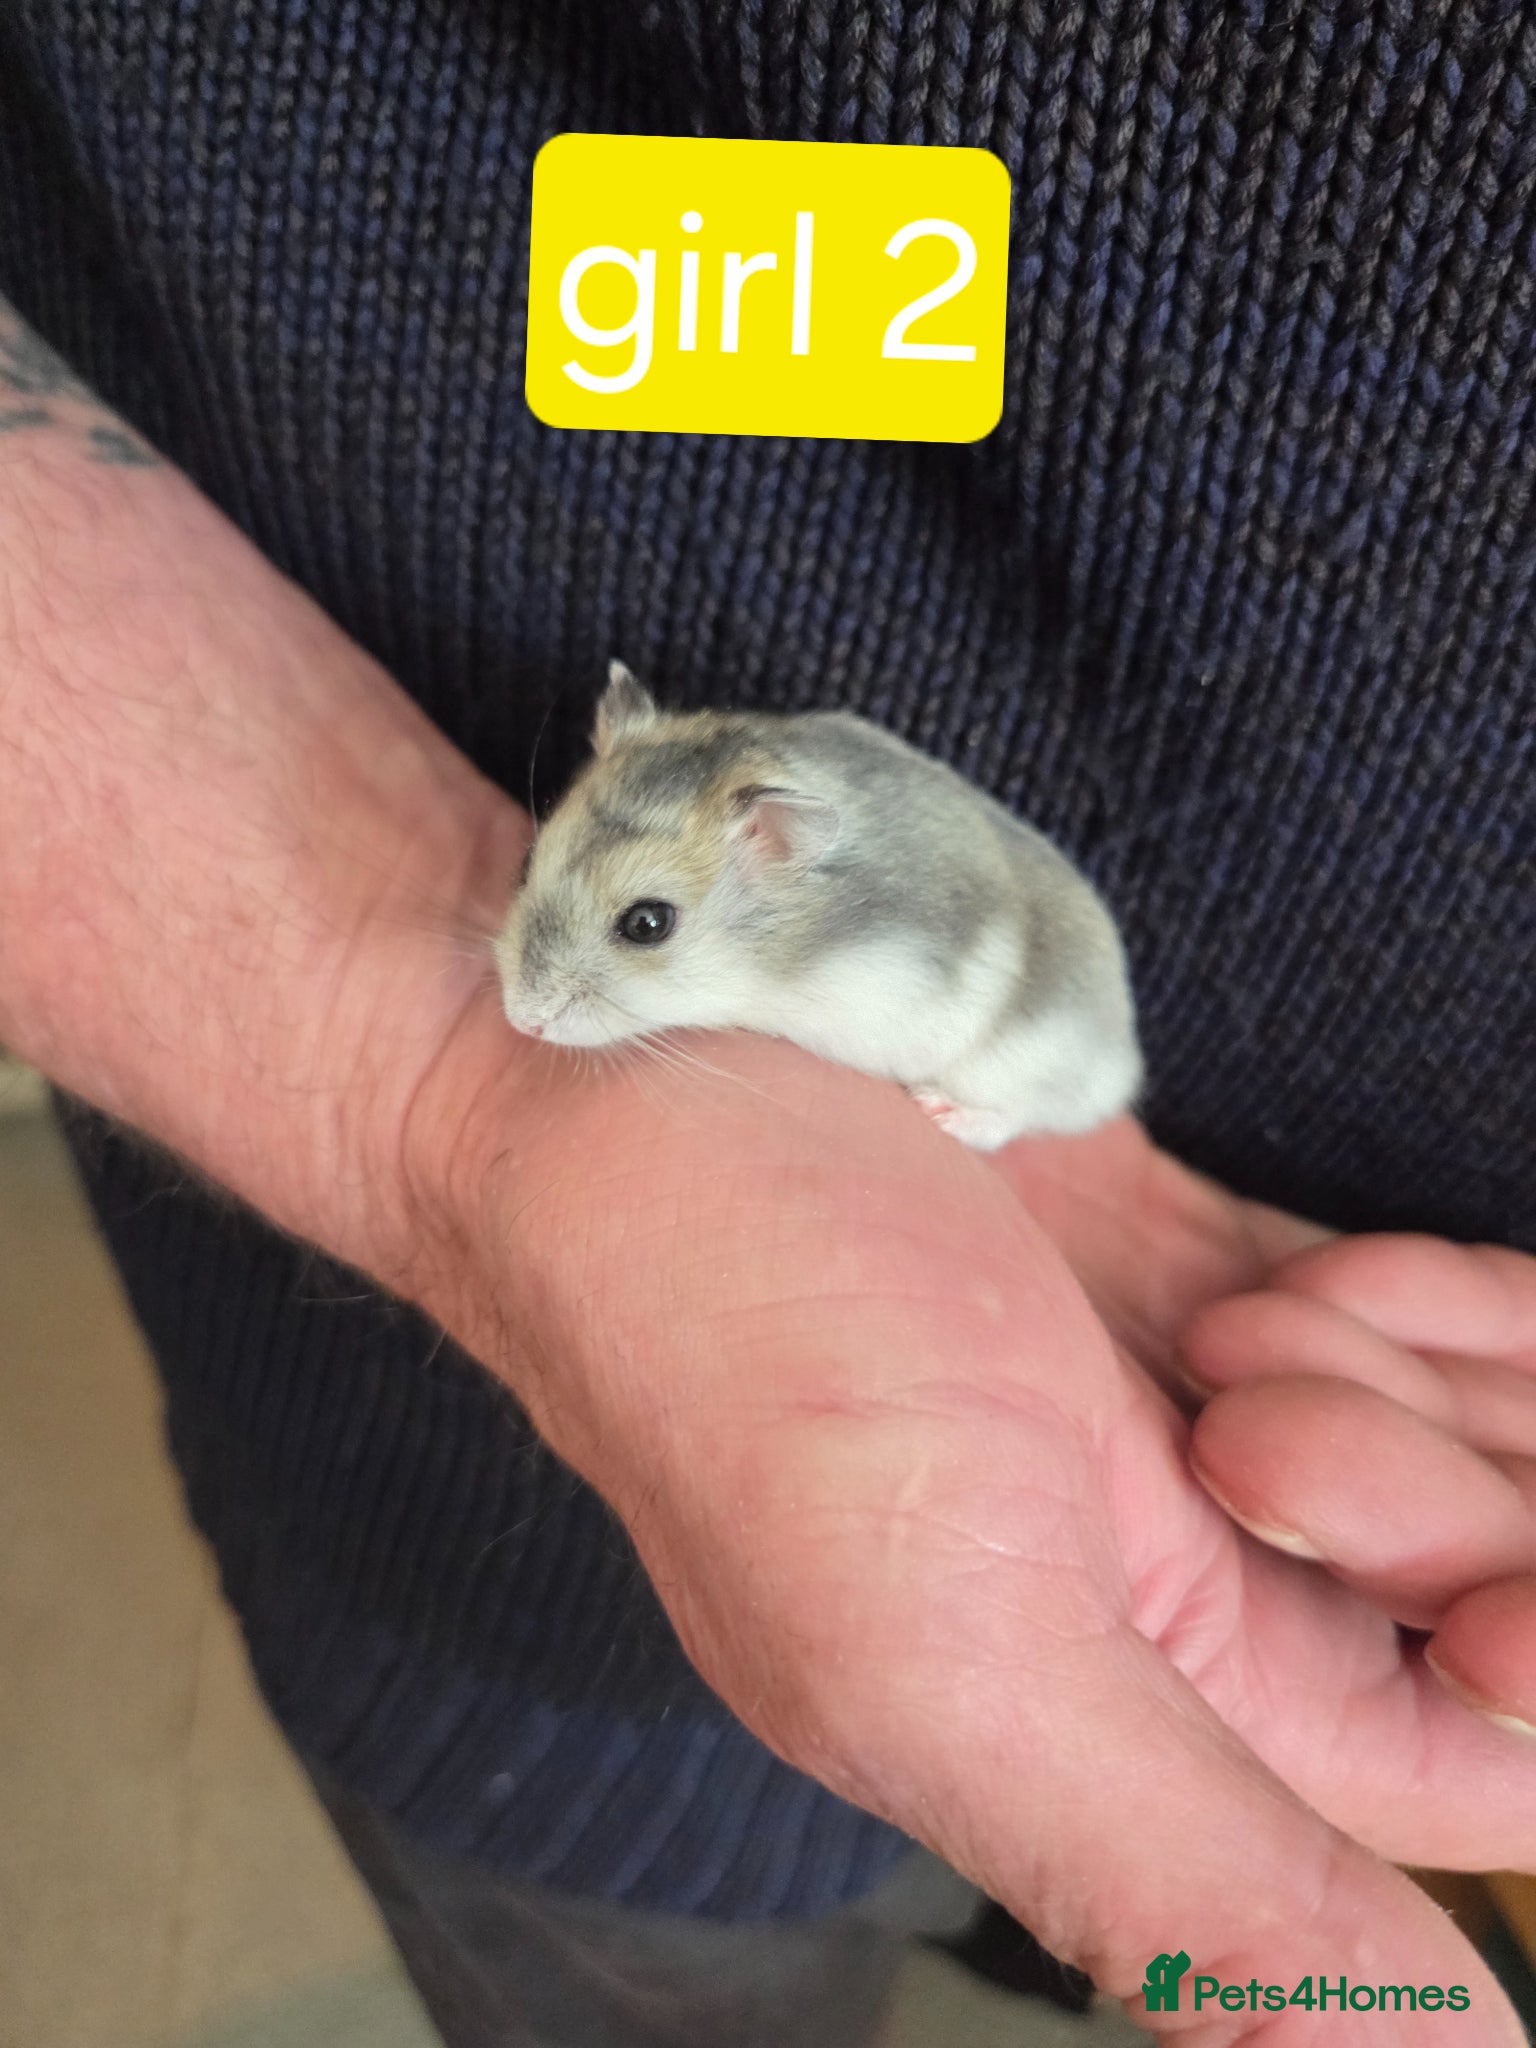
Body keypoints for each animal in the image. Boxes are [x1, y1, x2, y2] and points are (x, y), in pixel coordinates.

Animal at [494, 663, 1142, 1149]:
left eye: (647, 924)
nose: (523, 1021)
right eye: (525, 861)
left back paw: (941, 1111)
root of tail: (1122, 1059)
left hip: (1017, 1064)